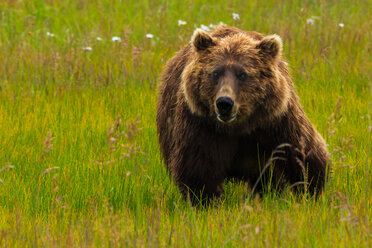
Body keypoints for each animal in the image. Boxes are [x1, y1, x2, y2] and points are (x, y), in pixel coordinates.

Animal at [155, 25, 330, 203]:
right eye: (215, 73)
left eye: (242, 74)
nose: (224, 103)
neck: (239, 126)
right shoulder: (201, 125)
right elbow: (198, 170)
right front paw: (206, 201)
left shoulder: (277, 122)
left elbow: (304, 154)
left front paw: (311, 193)